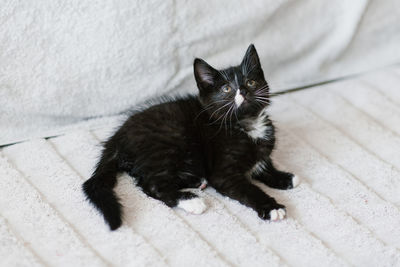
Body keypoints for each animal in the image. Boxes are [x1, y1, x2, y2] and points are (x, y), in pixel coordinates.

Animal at [83, 44, 298, 230]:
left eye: (251, 82)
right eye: (226, 89)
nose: (243, 91)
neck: (247, 124)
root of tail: (117, 137)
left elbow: (264, 165)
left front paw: (284, 177)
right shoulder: (224, 174)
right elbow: (250, 189)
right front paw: (271, 207)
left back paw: (195, 181)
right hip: (169, 140)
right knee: (151, 185)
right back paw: (191, 200)